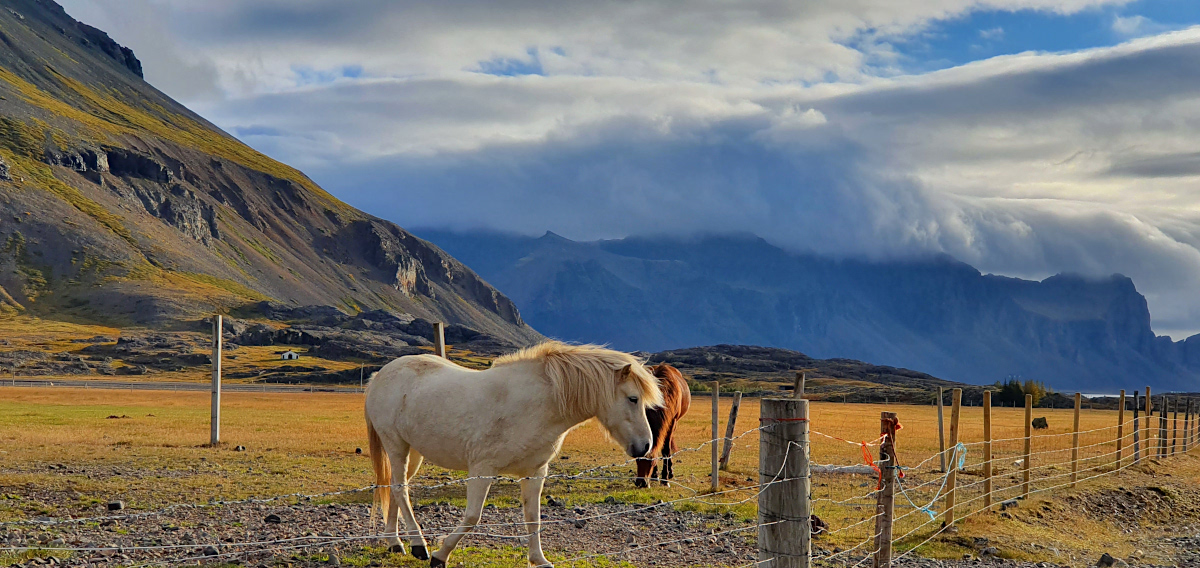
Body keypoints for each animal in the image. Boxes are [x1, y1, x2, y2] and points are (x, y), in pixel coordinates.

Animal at [364, 341, 667, 566]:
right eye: (633, 399)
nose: (645, 446)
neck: (536, 404)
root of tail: (381, 375)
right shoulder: (482, 470)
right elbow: (472, 517)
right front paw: (441, 555)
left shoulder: (535, 472)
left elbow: (533, 517)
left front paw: (539, 560)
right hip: (396, 445)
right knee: (400, 488)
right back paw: (419, 545)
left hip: (413, 452)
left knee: (394, 488)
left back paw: (395, 543)